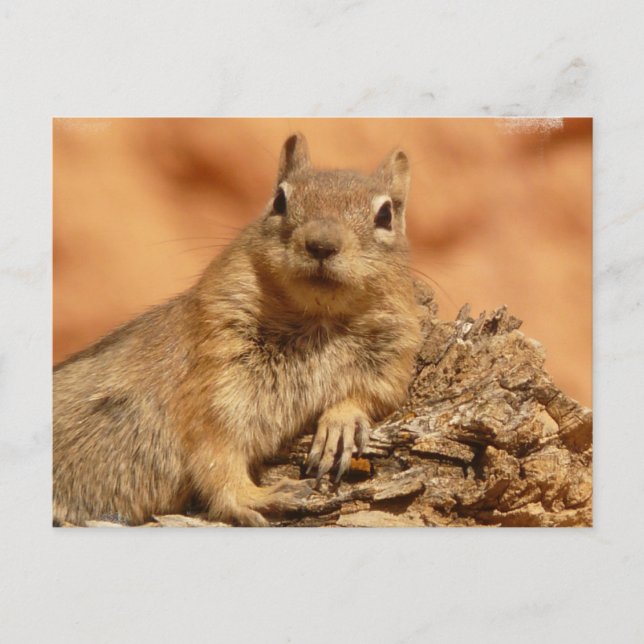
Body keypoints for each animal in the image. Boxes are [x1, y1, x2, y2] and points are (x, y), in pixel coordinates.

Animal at [53, 133, 423, 527]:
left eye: (385, 214)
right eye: (279, 200)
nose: (322, 244)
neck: (317, 321)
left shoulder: (392, 358)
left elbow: (373, 395)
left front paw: (341, 422)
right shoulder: (215, 379)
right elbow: (216, 454)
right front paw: (257, 497)